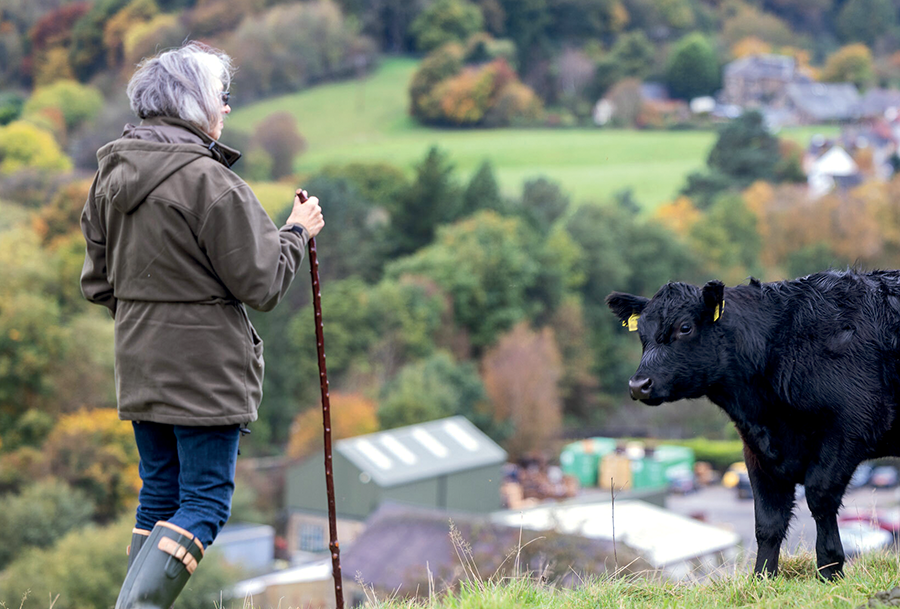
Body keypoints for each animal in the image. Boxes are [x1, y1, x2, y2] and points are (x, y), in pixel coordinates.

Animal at [600, 270, 900, 580]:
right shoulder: (757, 450)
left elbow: (820, 497)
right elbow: (768, 521)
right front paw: (762, 578)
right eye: (642, 334)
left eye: (685, 327)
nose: (639, 385)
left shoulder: (850, 429)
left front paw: (830, 570)